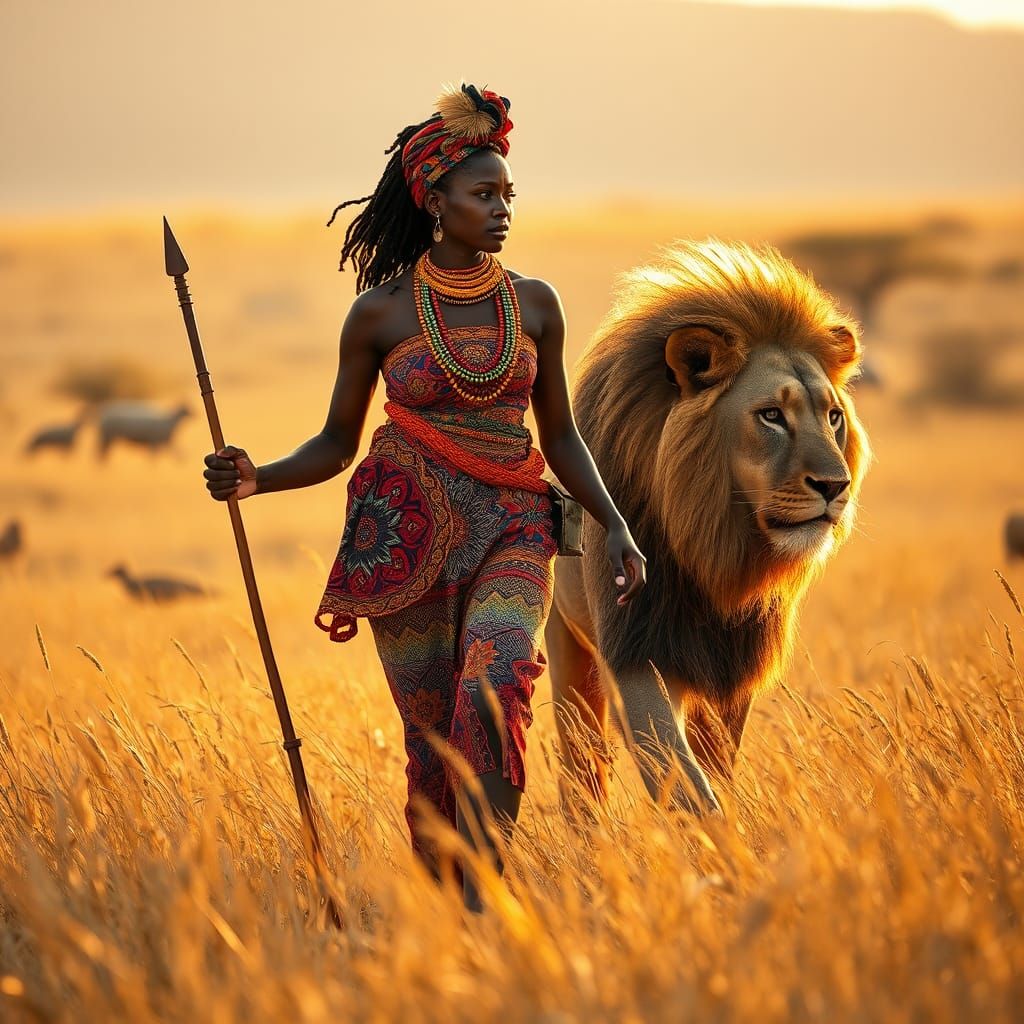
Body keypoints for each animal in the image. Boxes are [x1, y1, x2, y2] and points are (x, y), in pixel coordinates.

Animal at [544, 239, 873, 815]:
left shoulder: (732, 672)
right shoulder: (635, 651)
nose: (837, 486)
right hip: (567, 643)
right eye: (771, 416)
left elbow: (714, 772)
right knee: (581, 767)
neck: (714, 548)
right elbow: (687, 787)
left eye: (833, 416)